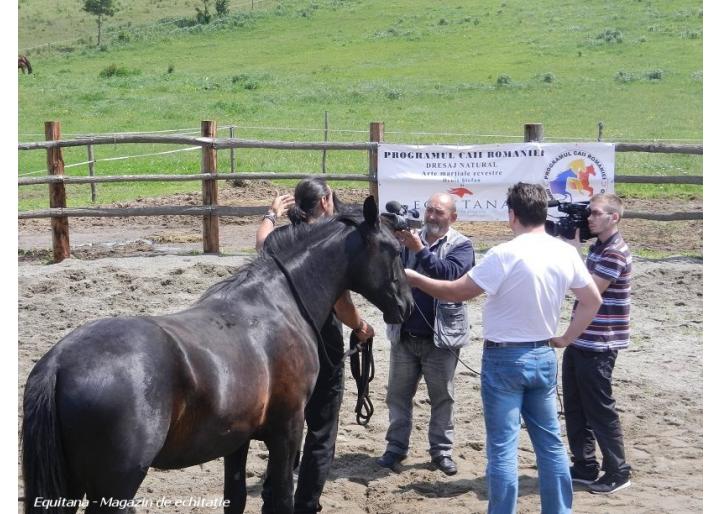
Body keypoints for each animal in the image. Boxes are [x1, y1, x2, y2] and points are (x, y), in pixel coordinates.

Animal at [22, 197, 414, 512]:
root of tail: (59, 363)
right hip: (115, 488)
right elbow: (280, 499)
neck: (276, 302)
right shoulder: (287, 431)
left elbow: (236, 498)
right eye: (395, 251)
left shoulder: (235, 441)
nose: (407, 306)